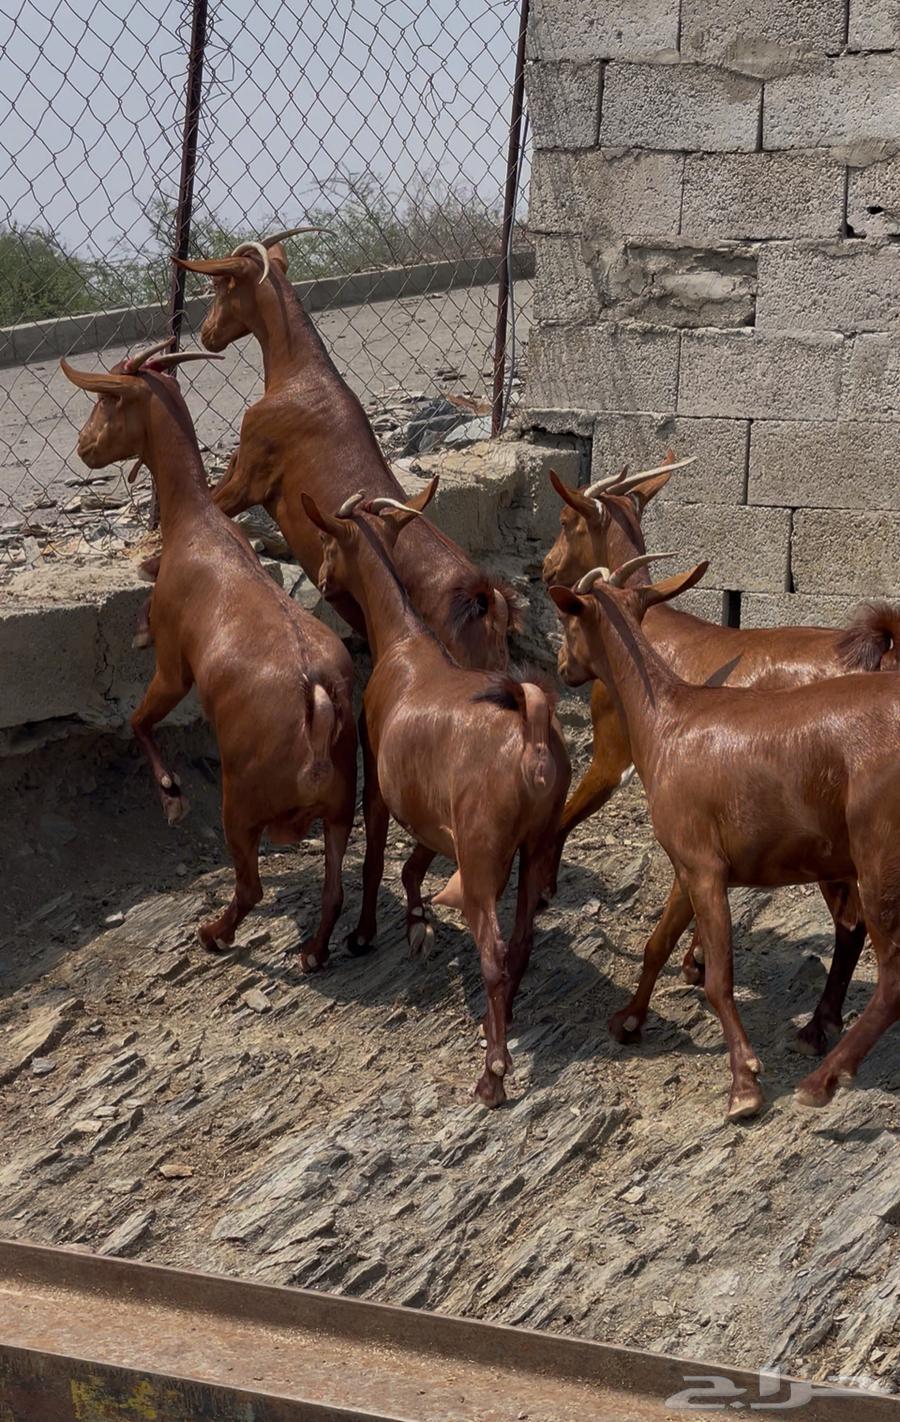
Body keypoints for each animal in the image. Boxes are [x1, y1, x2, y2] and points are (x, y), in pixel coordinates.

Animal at [61, 341, 356, 969]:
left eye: (106, 399)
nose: (83, 447)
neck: (198, 522)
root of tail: (318, 700)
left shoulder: (176, 667)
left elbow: (139, 719)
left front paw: (171, 795)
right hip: (343, 809)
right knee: (334, 890)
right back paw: (313, 951)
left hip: (240, 803)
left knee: (250, 887)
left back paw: (213, 932)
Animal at [170, 232, 516, 669]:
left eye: (221, 285)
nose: (207, 334)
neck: (302, 375)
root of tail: (484, 602)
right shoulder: (239, 467)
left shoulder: (248, 480)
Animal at [301, 489, 570, 1106]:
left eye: (327, 539)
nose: (322, 580)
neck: (406, 642)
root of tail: (532, 737)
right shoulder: (434, 814)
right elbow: (413, 864)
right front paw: (418, 920)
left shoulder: (379, 784)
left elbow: (375, 858)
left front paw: (363, 935)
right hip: (535, 845)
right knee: (520, 944)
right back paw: (503, 1020)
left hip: (484, 858)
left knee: (493, 956)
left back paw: (492, 1074)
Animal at [543, 457, 900, 1057]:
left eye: (567, 520)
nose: (545, 566)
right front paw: (695, 959)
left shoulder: (613, 755)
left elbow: (563, 817)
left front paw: (542, 887)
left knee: (851, 926)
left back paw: (819, 1025)